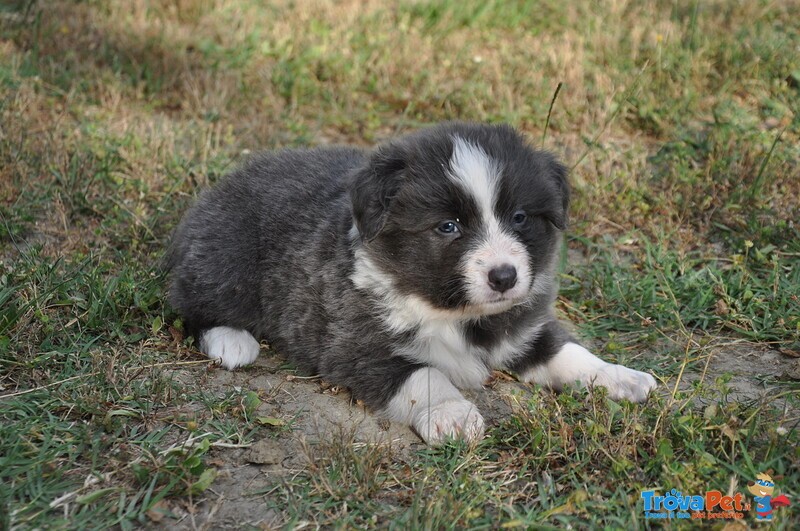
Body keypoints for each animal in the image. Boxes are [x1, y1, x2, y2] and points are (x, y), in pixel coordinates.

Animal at [167, 122, 656, 442]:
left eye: (519, 217)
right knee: (191, 303)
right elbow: (424, 375)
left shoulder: (524, 323)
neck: (454, 312)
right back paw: (232, 341)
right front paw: (454, 414)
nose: (504, 276)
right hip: (228, 256)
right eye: (448, 226)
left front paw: (618, 376)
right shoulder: (357, 344)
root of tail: (227, 182)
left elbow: (567, 352)